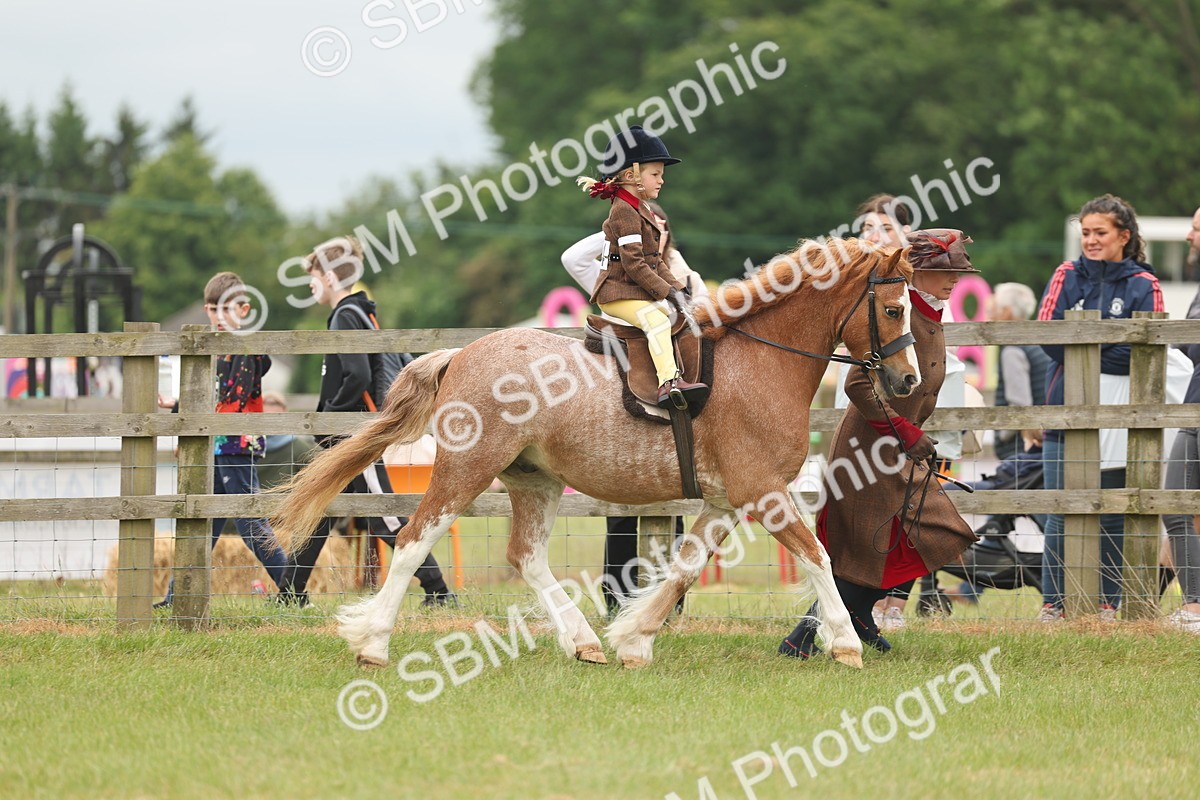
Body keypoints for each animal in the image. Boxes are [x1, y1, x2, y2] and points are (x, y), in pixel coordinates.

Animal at [270, 239, 920, 670]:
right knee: (410, 542)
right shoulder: (764, 493)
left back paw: (582, 641)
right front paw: (846, 643)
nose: (909, 380)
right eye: (893, 310)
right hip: (465, 471)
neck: (762, 358)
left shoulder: (725, 502)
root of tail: (461, 354)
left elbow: (683, 569)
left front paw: (634, 639)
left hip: (533, 482)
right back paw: (373, 644)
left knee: (526, 556)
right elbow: (819, 558)